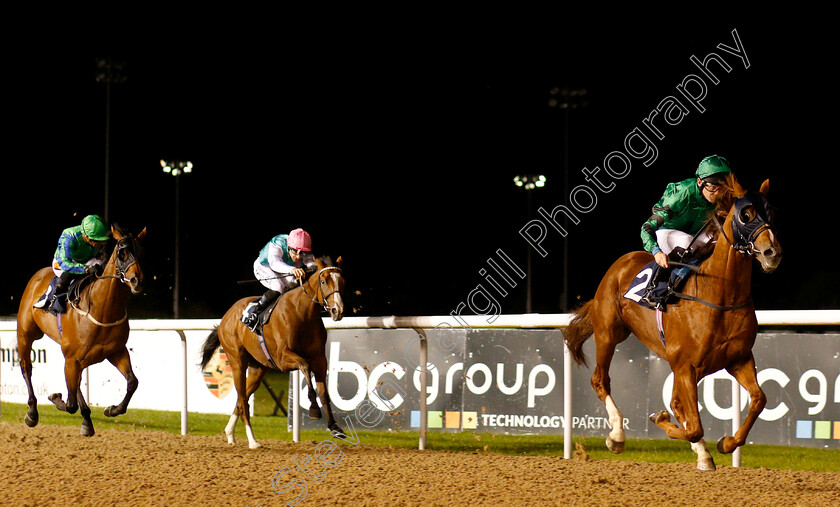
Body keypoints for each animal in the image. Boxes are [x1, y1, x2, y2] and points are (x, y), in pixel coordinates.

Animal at [16, 224, 146, 438]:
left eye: (141, 251)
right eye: (122, 253)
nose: (137, 281)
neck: (102, 310)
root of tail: (38, 275)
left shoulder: (115, 351)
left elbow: (132, 382)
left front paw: (112, 409)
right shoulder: (72, 358)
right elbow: (70, 404)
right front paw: (55, 398)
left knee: (76, 385)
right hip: (26, 334)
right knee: (27, 368)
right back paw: (32, 412)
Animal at [202, 258, 346, 448]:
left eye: (342, 282)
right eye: (323, 281)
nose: (338, 310)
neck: (303, 313)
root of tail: (226, 317)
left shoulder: (320, 359)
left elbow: (323, 391)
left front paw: (334, 427)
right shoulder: (282, 358)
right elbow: (305, 366)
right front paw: (314, 409)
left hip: (258, 369)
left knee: (242, 399)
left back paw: (230, 434)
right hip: (237, 362)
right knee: (243, 402)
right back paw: (252, 440)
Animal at [564, 180, 780, 472]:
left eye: (770, 213)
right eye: (745, 215)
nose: (772, 252)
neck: (721, 295)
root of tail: (621, 262)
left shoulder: (738, 358)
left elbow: (758, 399)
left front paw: (726, 443)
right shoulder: (685, 364)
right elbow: (694, 426)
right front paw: (659, 418)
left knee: (679, 403)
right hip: (609, 333)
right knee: (600, 380)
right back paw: (617, 436)